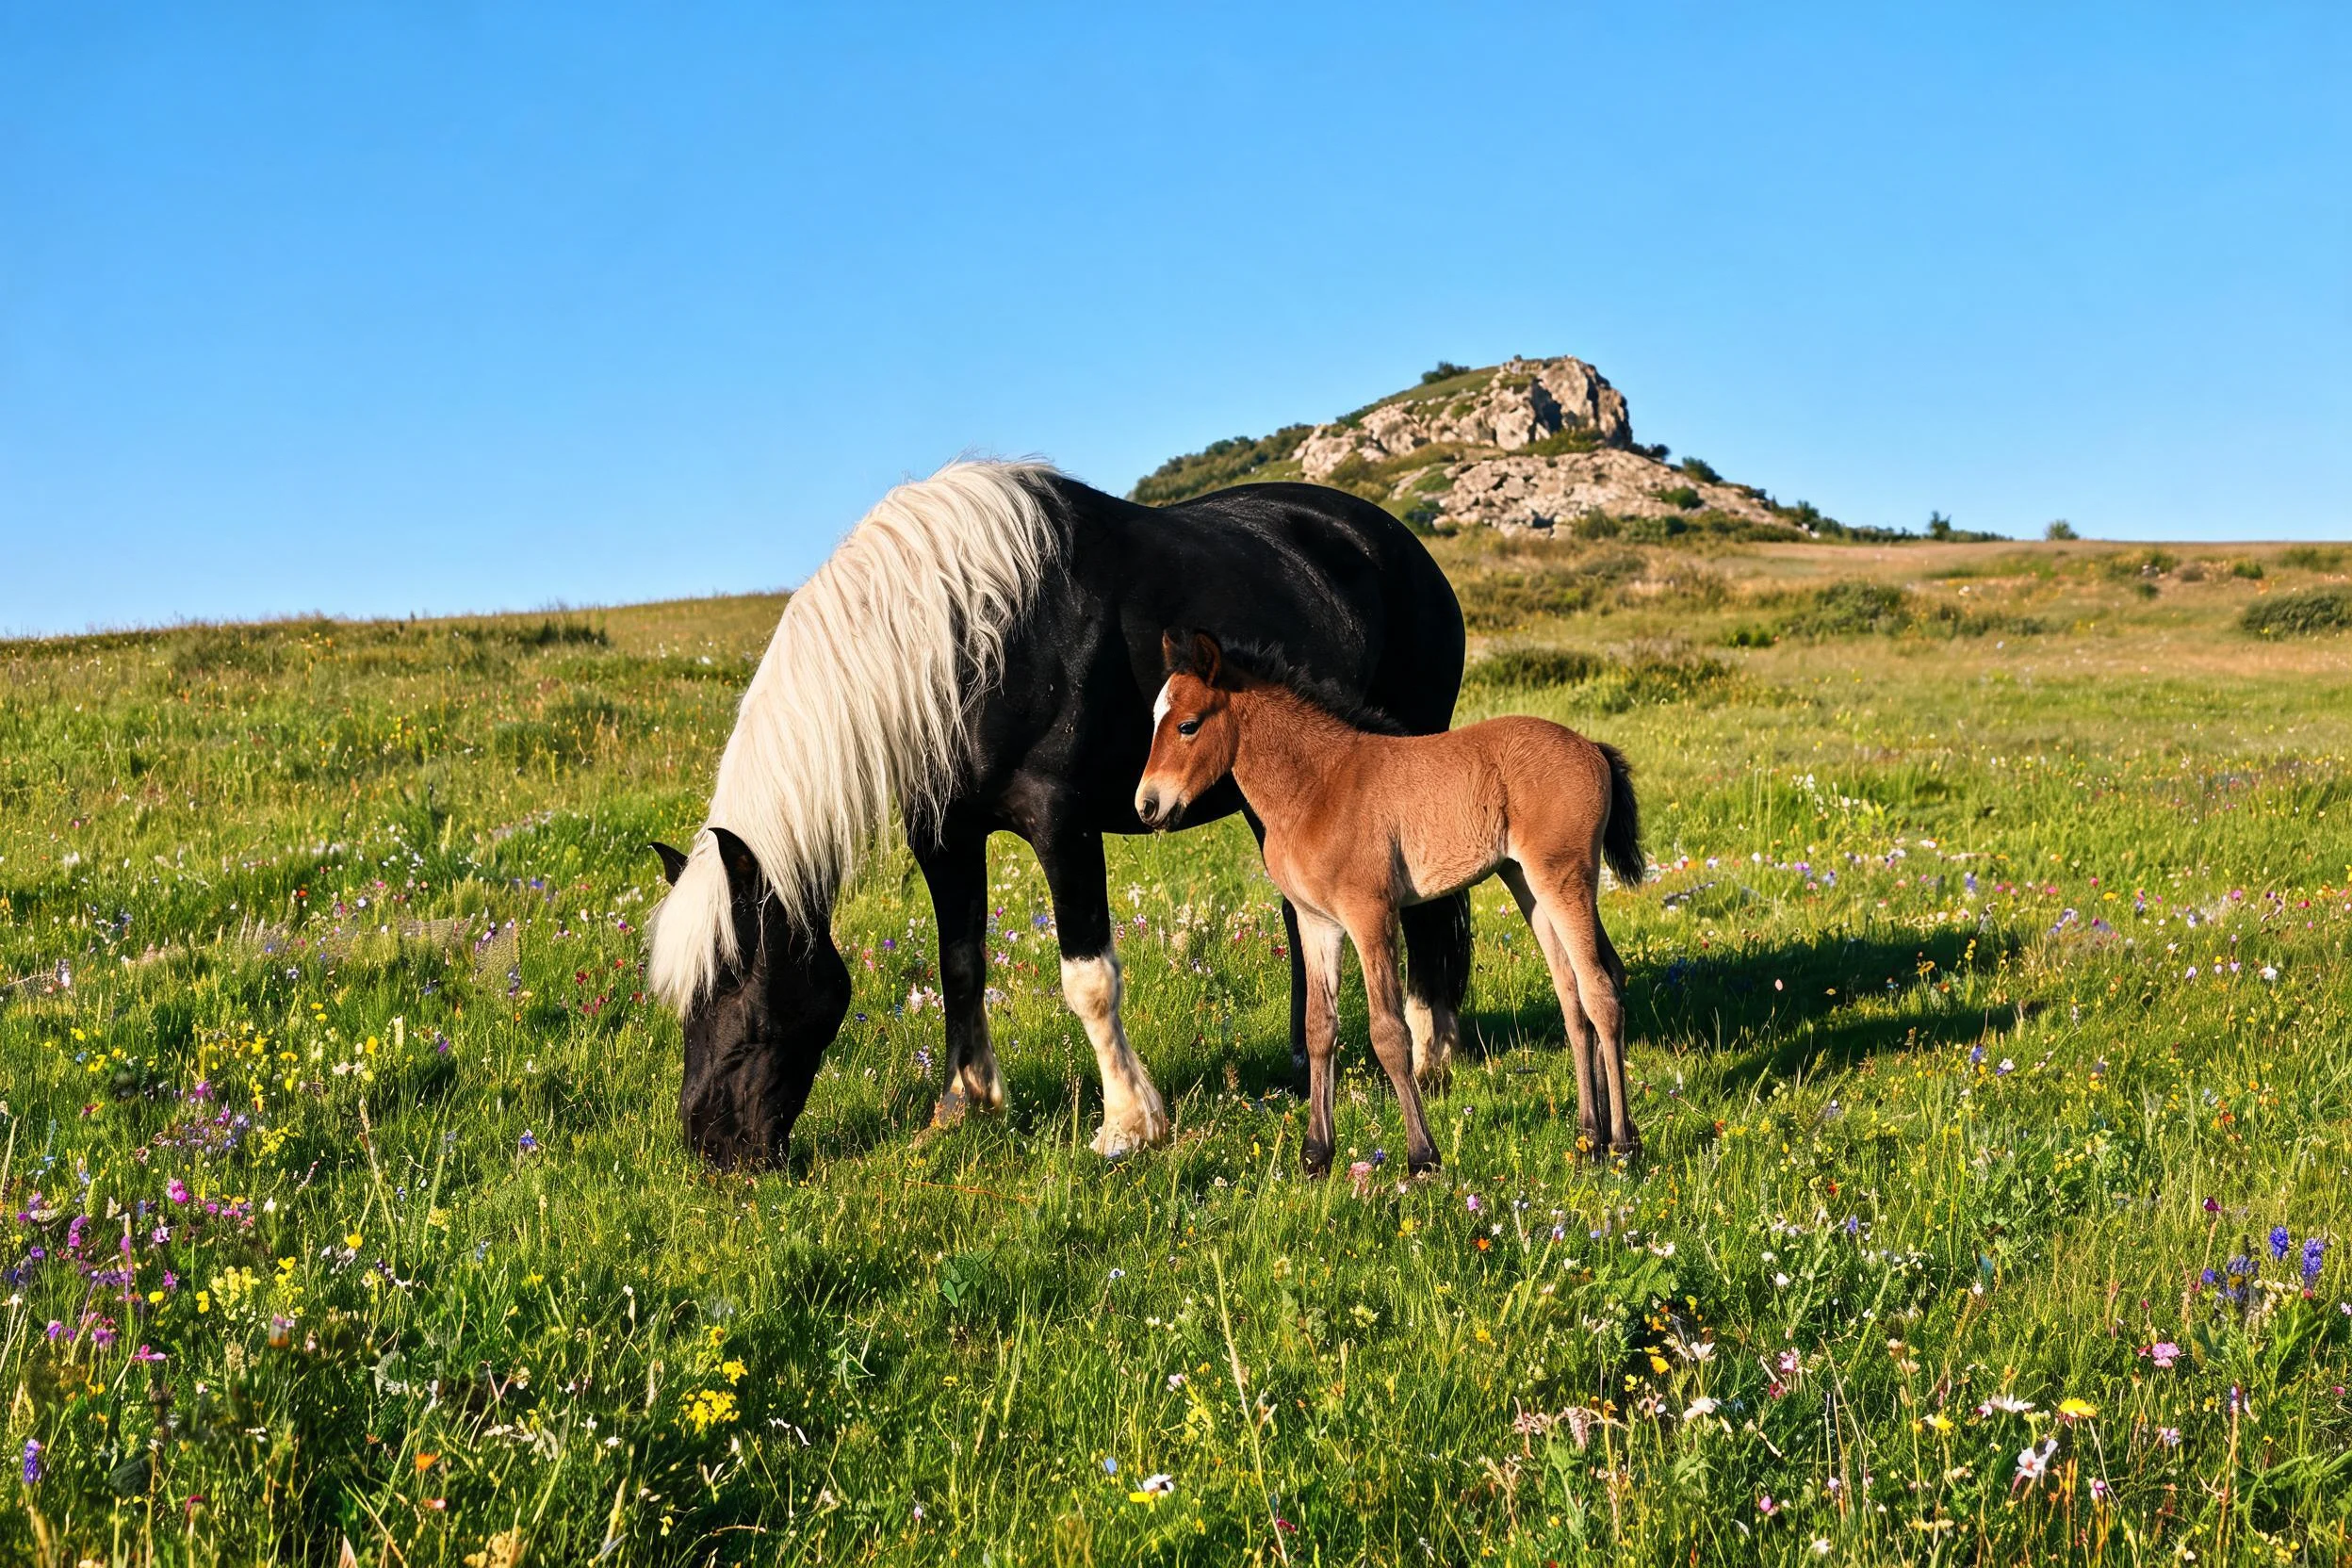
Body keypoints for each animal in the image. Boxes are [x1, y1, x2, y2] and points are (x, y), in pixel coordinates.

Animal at [645, 459, 1471, 1169]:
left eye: (746, 999)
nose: (711, 1148)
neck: (962, 643)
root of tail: (1396, 542)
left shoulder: (1060, 825)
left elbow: (1088, 979)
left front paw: (1129, 1124)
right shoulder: (945, 839)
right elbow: (960, 964)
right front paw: (964, 1105)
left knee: (1427, 906)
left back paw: (1431, 1053)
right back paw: (1308, 1064)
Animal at [1135, 628, 1645, 1175]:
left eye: (1188, 725)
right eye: (1154, 719)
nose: (1147, 805)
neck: (1316, 788)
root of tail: (1592, 748)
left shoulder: (1371, 914)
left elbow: (1390, 1034)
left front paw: (1422, 1156)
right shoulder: (1317, 923)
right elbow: (1319, 1029)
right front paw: (1316, 1154)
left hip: (1564, 879)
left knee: (1600, 991)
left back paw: (1623, 1142)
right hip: (1528, 883)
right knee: (1576, 994)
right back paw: (1589, 1136)